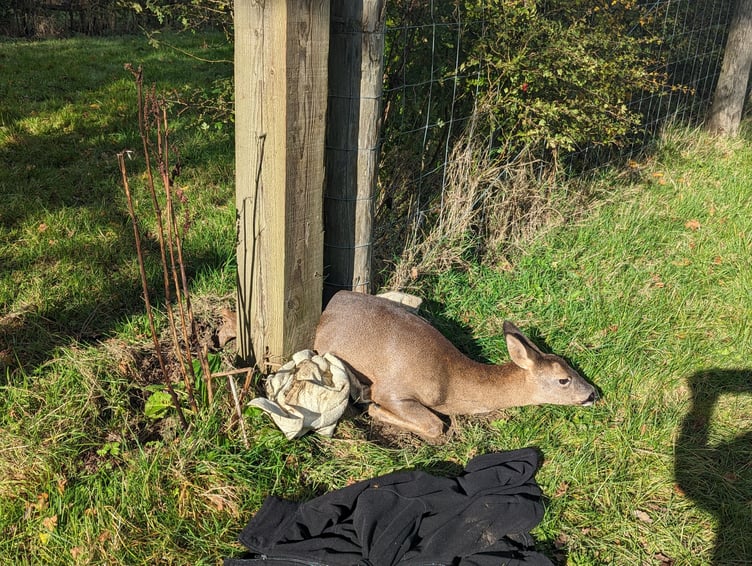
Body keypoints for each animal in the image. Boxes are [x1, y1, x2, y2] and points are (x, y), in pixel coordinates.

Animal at [313, 291, 598, 440]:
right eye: (563, 380)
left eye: (570, 366)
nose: (592, 393)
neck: (451, 384)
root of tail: (333, 301)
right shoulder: (392, 389)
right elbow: (435, 425)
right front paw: (372, 406)